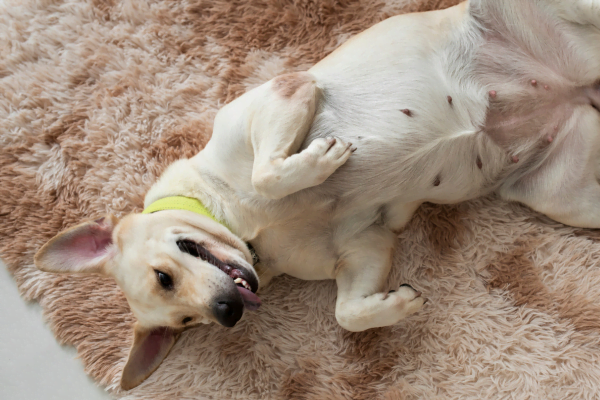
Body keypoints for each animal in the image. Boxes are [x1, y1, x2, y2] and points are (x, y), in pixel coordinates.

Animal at [34, 0, 600, 390]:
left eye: (163, 277)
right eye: (187, 323)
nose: (227, 312)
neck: (246, 226)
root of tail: (577, 87)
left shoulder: (287, 90)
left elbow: (268, 172)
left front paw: (319, 161)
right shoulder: (365, 242)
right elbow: (348, 313)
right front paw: (398, 304)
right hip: (566, 198)